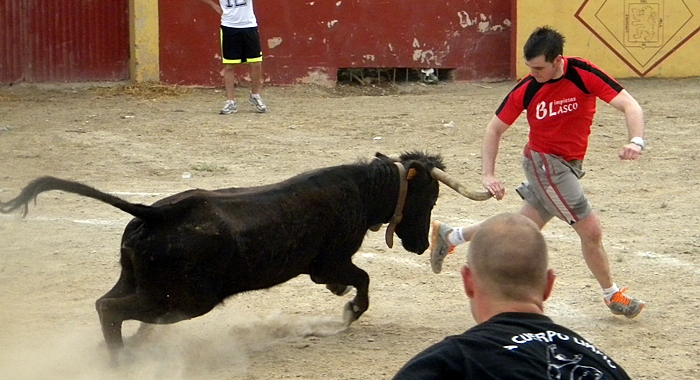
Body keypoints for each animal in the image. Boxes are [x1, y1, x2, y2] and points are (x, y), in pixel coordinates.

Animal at [0, 151, 490, 360]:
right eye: (428, 196)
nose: (419, 244)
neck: (361, 189)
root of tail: (156, 212)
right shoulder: (327, 264)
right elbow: (363, 280)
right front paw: (347, 312)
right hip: (187, 299)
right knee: (110, 309)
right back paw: (121, 361)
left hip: (147, 285)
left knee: (113, 305)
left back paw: (128, 349)